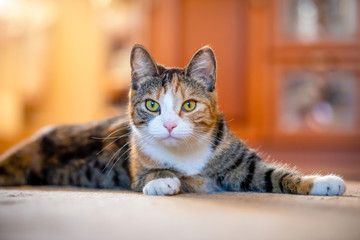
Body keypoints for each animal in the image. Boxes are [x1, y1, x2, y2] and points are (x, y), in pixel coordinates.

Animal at [0, 44, 344, 196]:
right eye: (152, 105)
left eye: (189, 105)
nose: (168, 125)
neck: (187, 153)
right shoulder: (138, 167)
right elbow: (154, 172)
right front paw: (163, 179)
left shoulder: (244, 166)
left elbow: (277, 174)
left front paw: (321, 181)